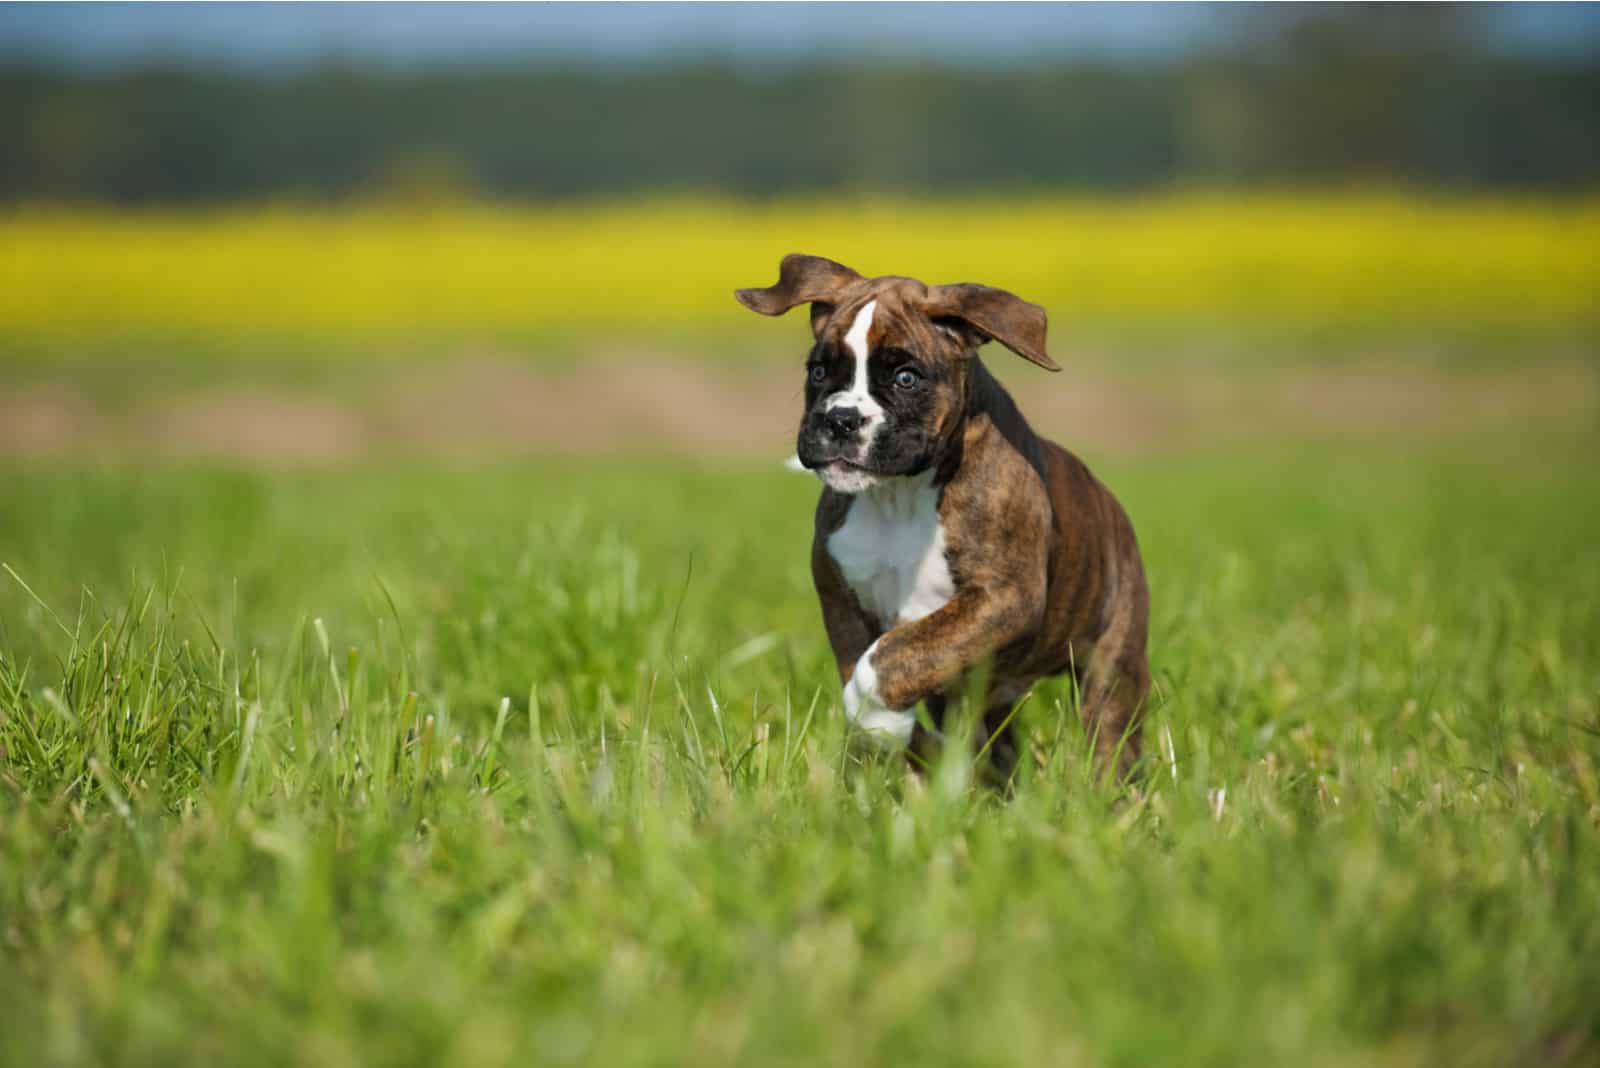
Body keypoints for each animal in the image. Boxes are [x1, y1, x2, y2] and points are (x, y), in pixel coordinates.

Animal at [736, 254, 1152, 780]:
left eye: (906, 378)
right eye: (819, 371)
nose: (840, 419)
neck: (899, 493)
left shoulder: (1002, 597)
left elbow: (890, 660)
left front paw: (880, 719)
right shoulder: (841, 601)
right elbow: (875, 666)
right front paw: (903, 744)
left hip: (1112, 666)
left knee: (1110, 737)